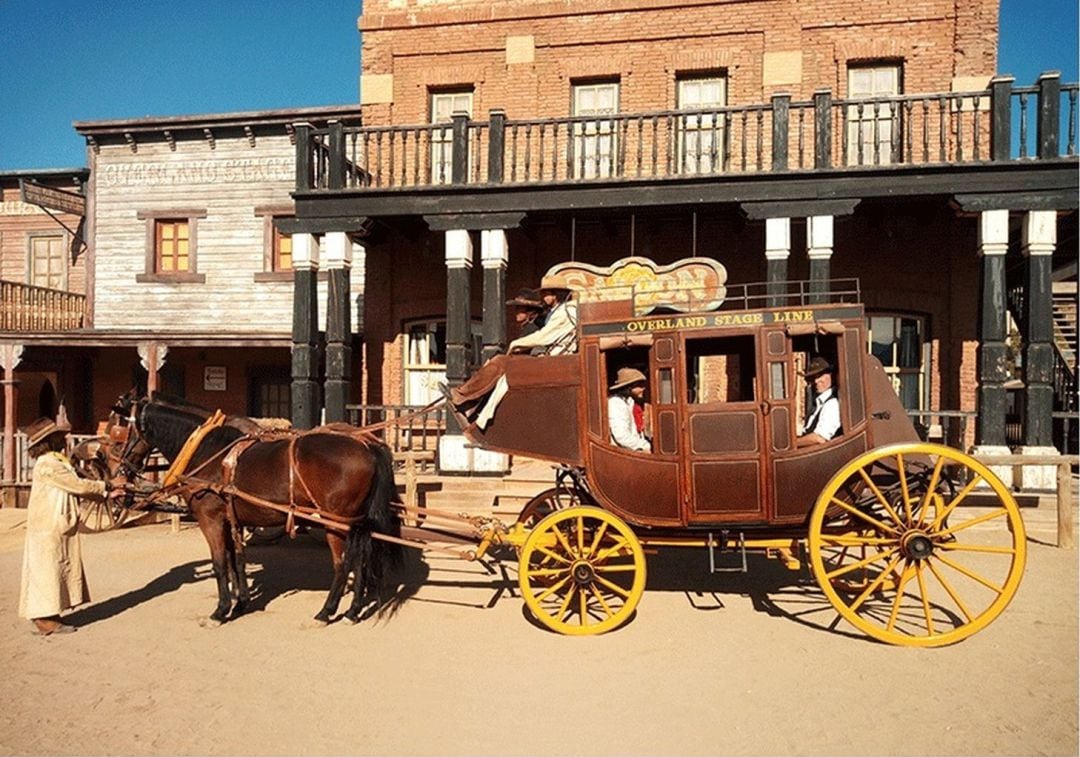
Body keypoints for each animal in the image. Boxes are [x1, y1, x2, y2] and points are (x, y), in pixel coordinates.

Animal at [111, 393, 403, 622]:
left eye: (124, 433)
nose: (122, 471)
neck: (207, 451)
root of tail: (366, 446)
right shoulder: (231, 520)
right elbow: (235, 561)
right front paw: (240, 603)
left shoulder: (210, 520)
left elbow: (220, 563)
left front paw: (221, 610)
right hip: (356, 524)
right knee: (361, 561)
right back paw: (352, 611)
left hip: (337, 523)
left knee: (344, 564)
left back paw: (327, 611)